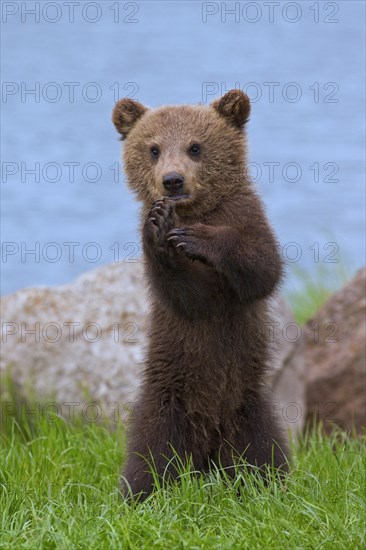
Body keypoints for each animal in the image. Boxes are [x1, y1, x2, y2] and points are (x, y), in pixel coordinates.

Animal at [111, 91, 288, 504]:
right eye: (154, 148)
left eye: (195, 146)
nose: (172, 181)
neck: (197, 210)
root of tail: (207, 453)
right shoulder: (183, 299)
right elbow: (188, 295)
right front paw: (160, 228)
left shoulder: (247, 217)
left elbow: (262, 269)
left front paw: (197, 238)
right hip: (166, 403)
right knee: (151, 457)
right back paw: (139, 496)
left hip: (247, 405)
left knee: (263, 452)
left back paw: (267, 487)